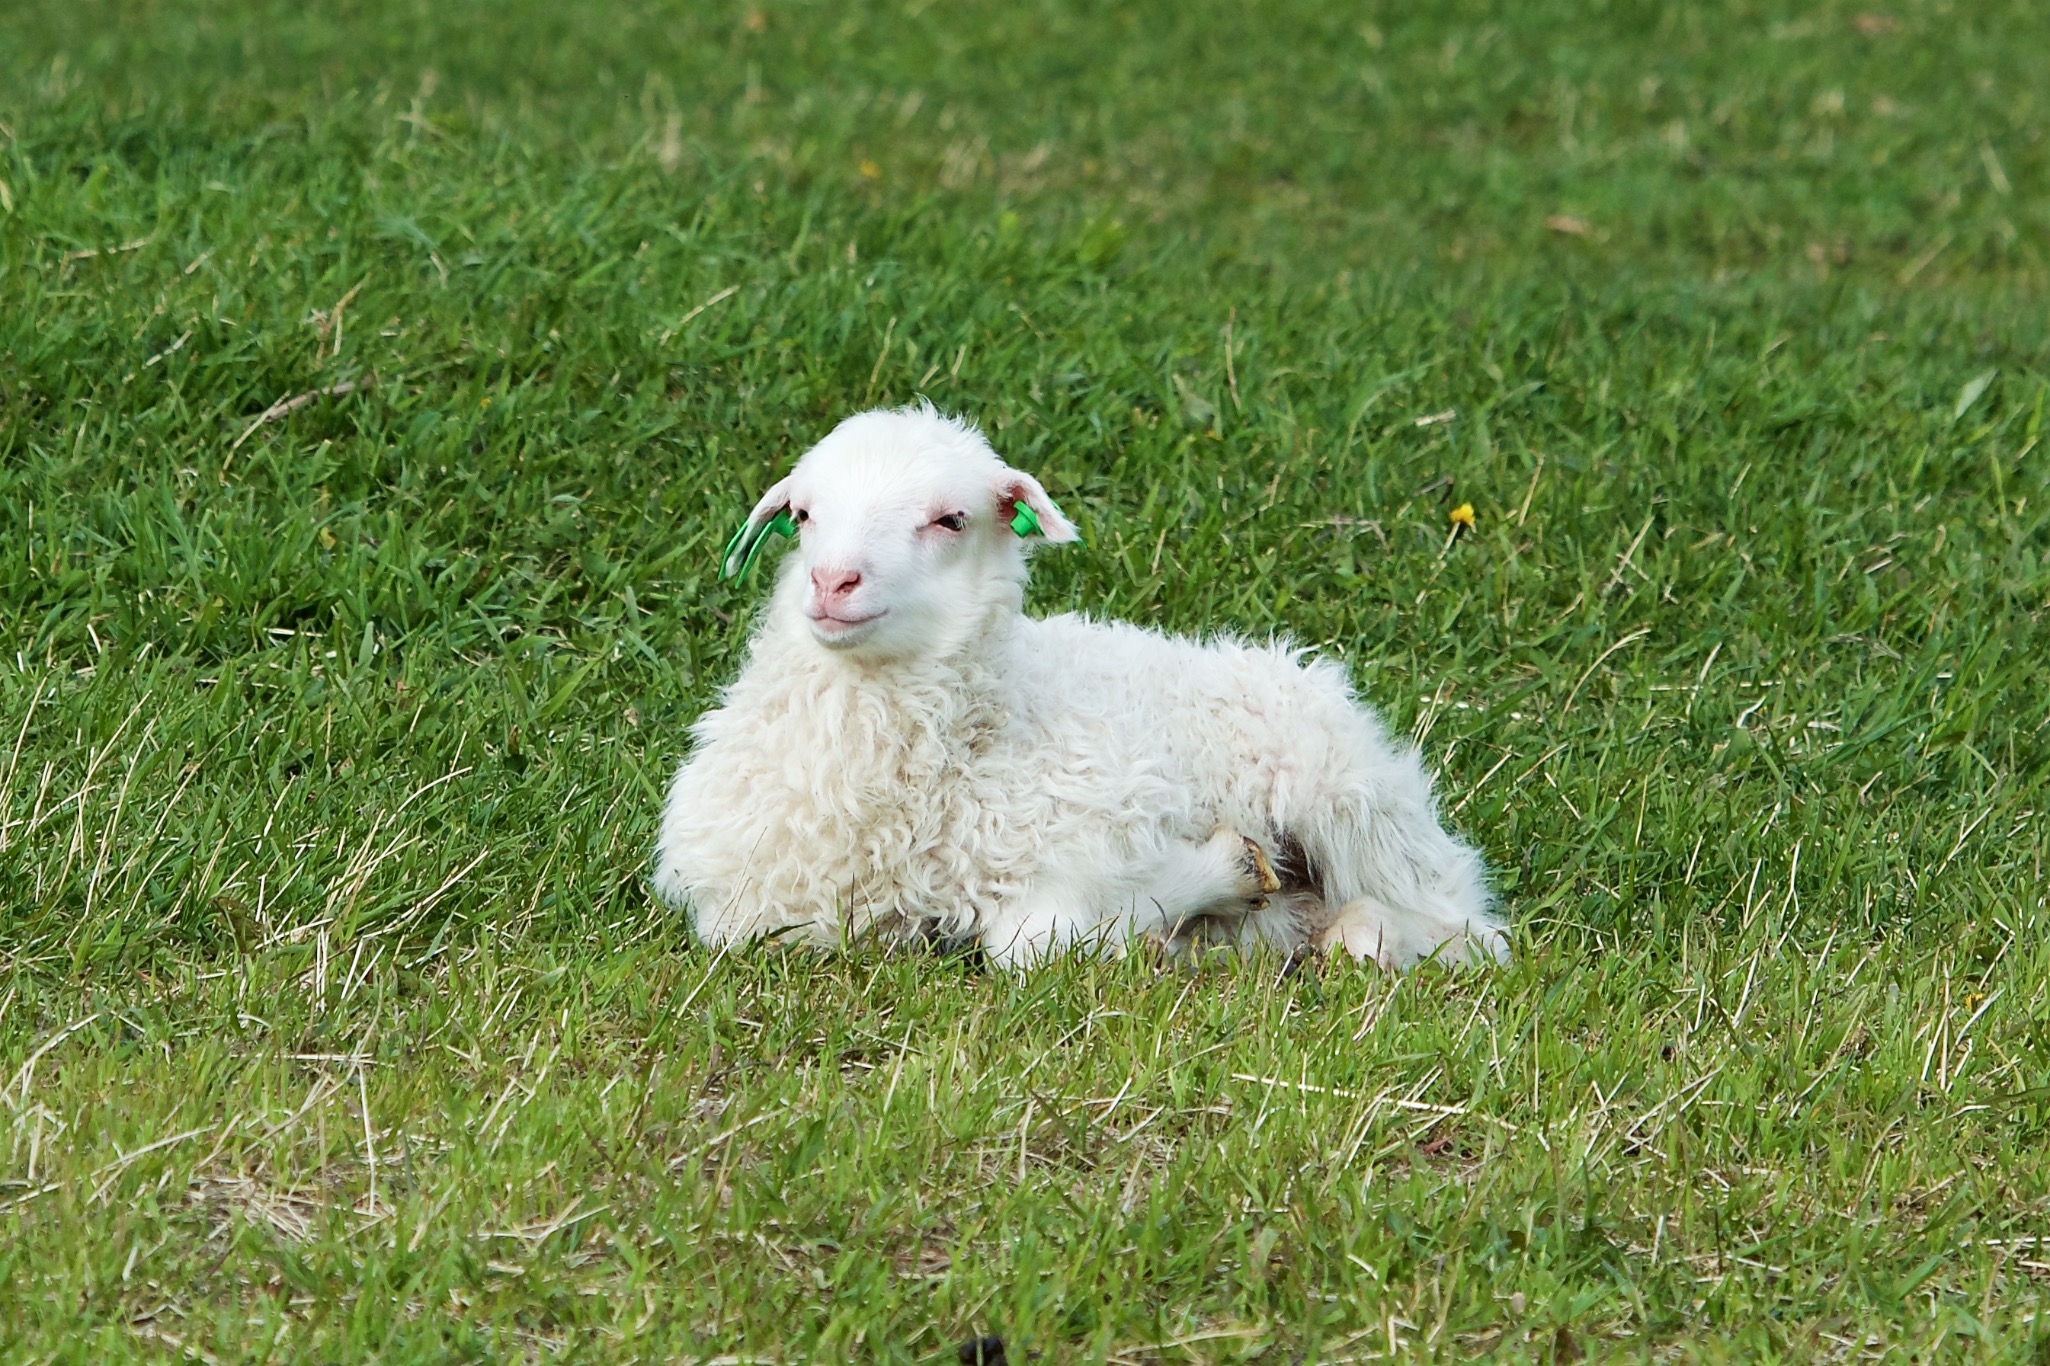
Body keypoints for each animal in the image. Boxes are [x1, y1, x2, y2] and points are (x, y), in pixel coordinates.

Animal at [651, 404, 1508, 968]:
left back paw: (1364, 938)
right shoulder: (749, 906)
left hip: (1351, 802)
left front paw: (1220, 874)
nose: (832, 581)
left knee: (1465, 923)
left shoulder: (1107, 820)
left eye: (951, 519)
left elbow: (1031, 940)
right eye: (801, 514)